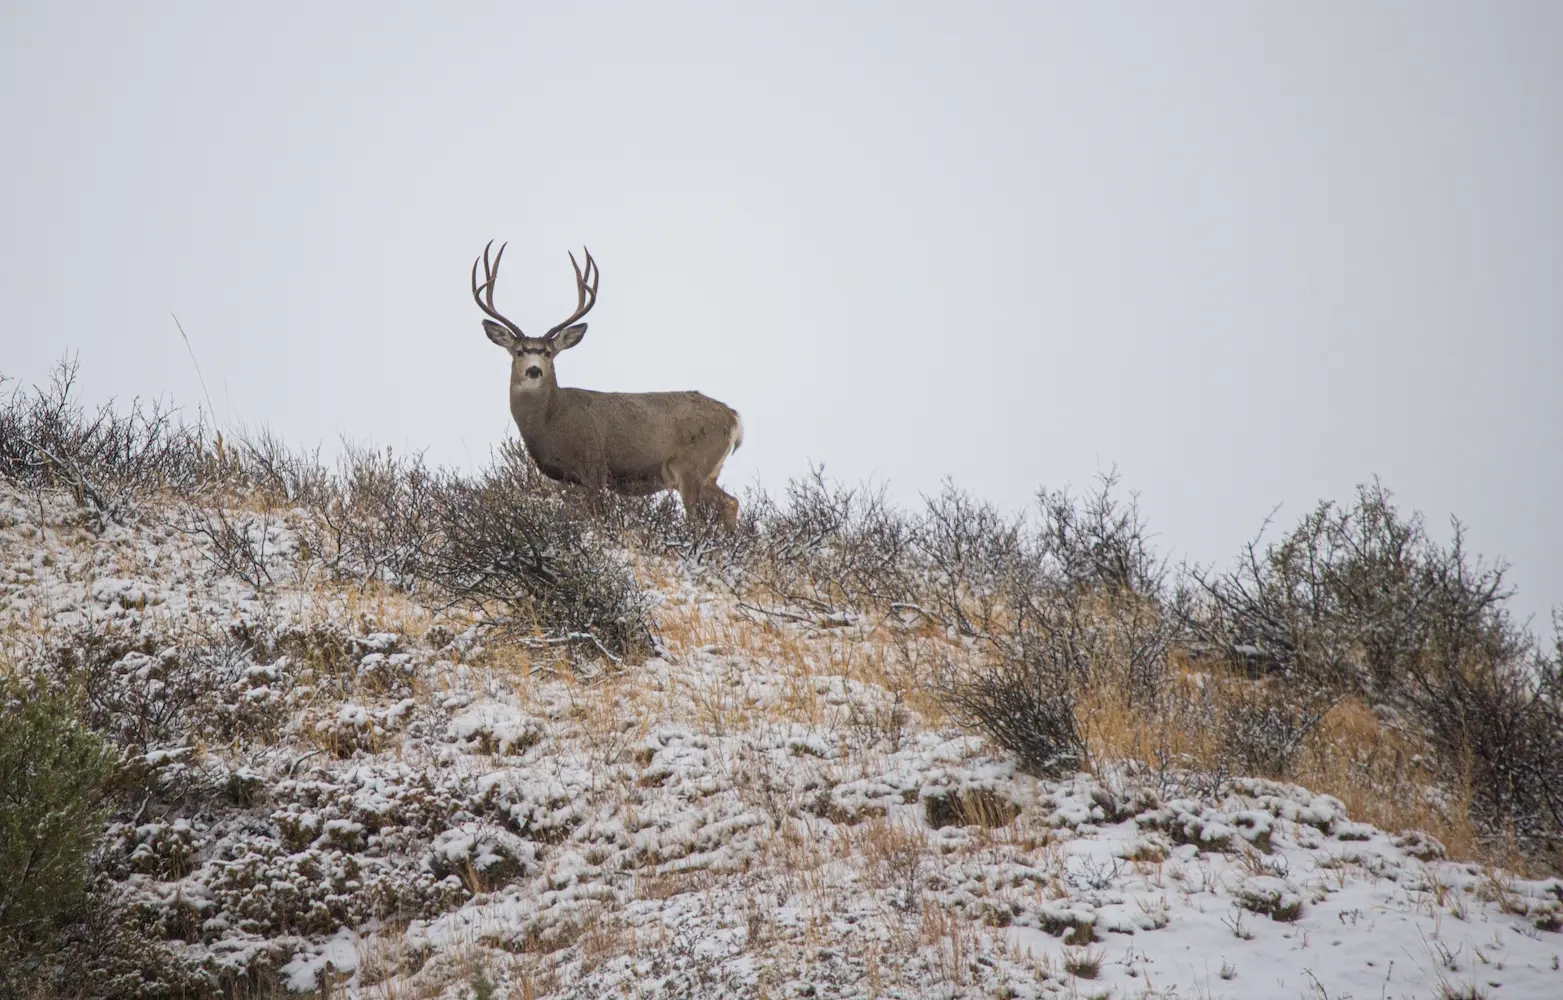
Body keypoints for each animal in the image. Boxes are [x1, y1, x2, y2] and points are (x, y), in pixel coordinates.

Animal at [472, 241, 744, 526]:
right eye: (519, 352)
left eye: (547, 352)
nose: (534, 370)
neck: (551, 421)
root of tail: (733, 416)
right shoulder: (565, 480)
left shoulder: (594, 467)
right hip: (706, 472)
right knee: (731, 502)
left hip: (692, 467)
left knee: (697, 518)